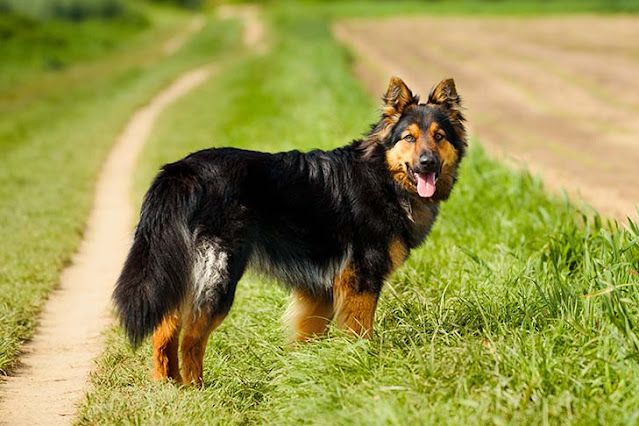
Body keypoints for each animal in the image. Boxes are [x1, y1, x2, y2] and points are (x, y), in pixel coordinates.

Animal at [112, 76, 468, 386]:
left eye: (439, 136)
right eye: (409, 137)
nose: (427, 163)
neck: (383, 177)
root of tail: (183, 171)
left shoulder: (320, 291)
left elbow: (307, 336)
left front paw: (306, 371)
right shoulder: (361, 281)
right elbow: (360, 332)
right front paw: (362, 364)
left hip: (181, 273)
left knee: (164, 331)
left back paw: (168, 387)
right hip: (219, 278)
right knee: (191, 338)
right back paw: (197, 389)